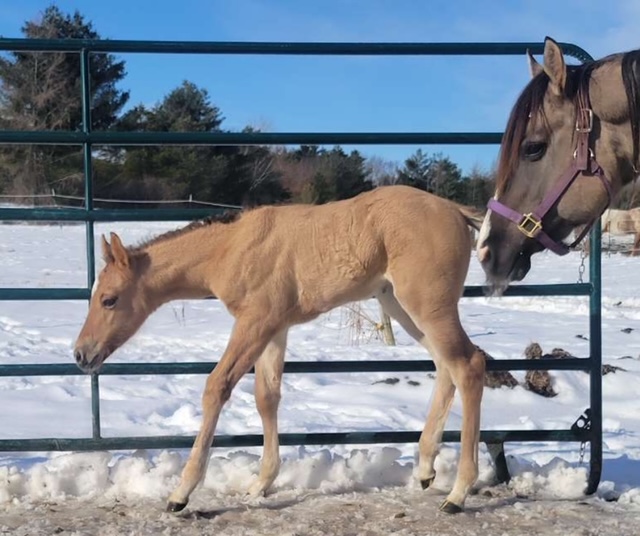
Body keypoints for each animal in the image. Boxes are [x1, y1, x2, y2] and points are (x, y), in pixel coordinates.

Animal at [74, 185, 484, 516]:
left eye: (109, 299)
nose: (80, 354)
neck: (231, 248)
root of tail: (454, 210)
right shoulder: (275, 329)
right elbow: (266, 396)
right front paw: (261, 483)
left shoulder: (256, 321)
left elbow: (217, 387)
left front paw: (181, 494)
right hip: (401, 305)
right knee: (446, 365)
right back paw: (426, 469)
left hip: (427, 305)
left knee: (469, 364)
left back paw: (458, 494)